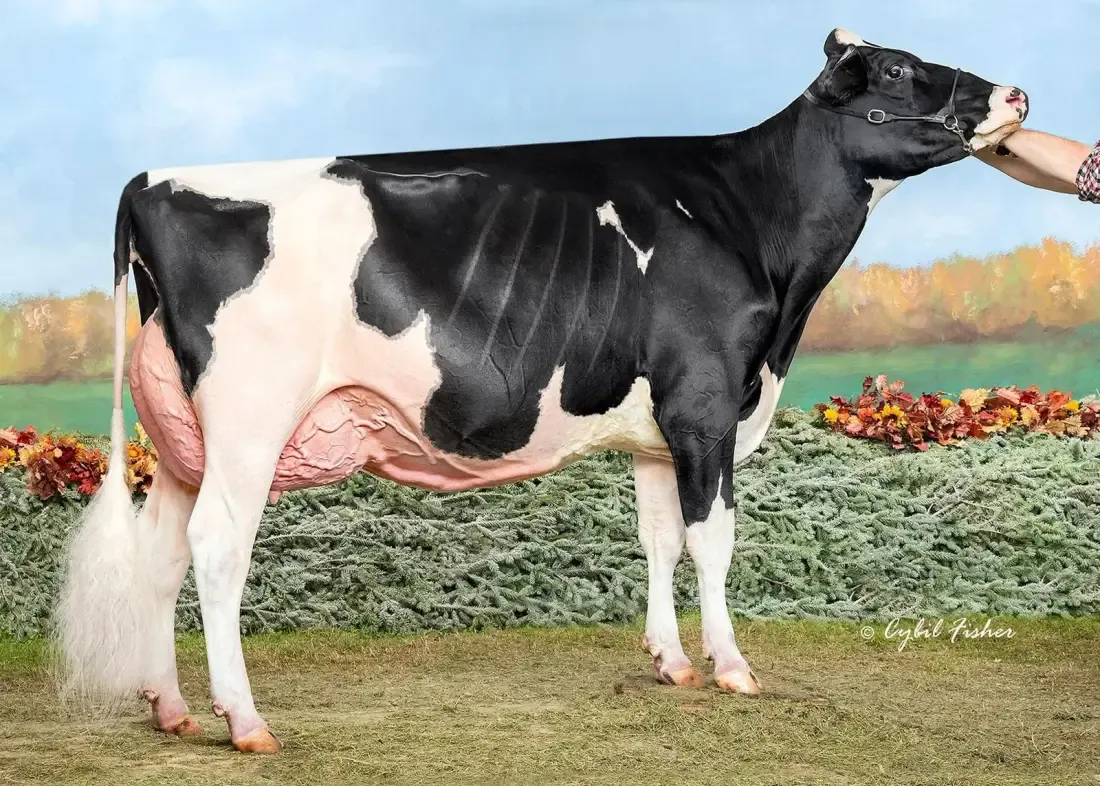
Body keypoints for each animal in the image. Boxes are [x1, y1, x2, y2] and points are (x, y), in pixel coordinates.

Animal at [53, 28, 1027, 753]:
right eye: (897, 70)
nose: (1016, 94)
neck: (752, 228)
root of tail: (156, 178)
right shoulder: (707, 405)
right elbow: (711, 543)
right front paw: (732, 667)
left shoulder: (655, 431)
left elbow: (658, 540)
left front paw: (670, 662)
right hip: (250, 419)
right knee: (218, 550)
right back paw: (244, 720)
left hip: (184, 437)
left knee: (162, 552)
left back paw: (172, 709)